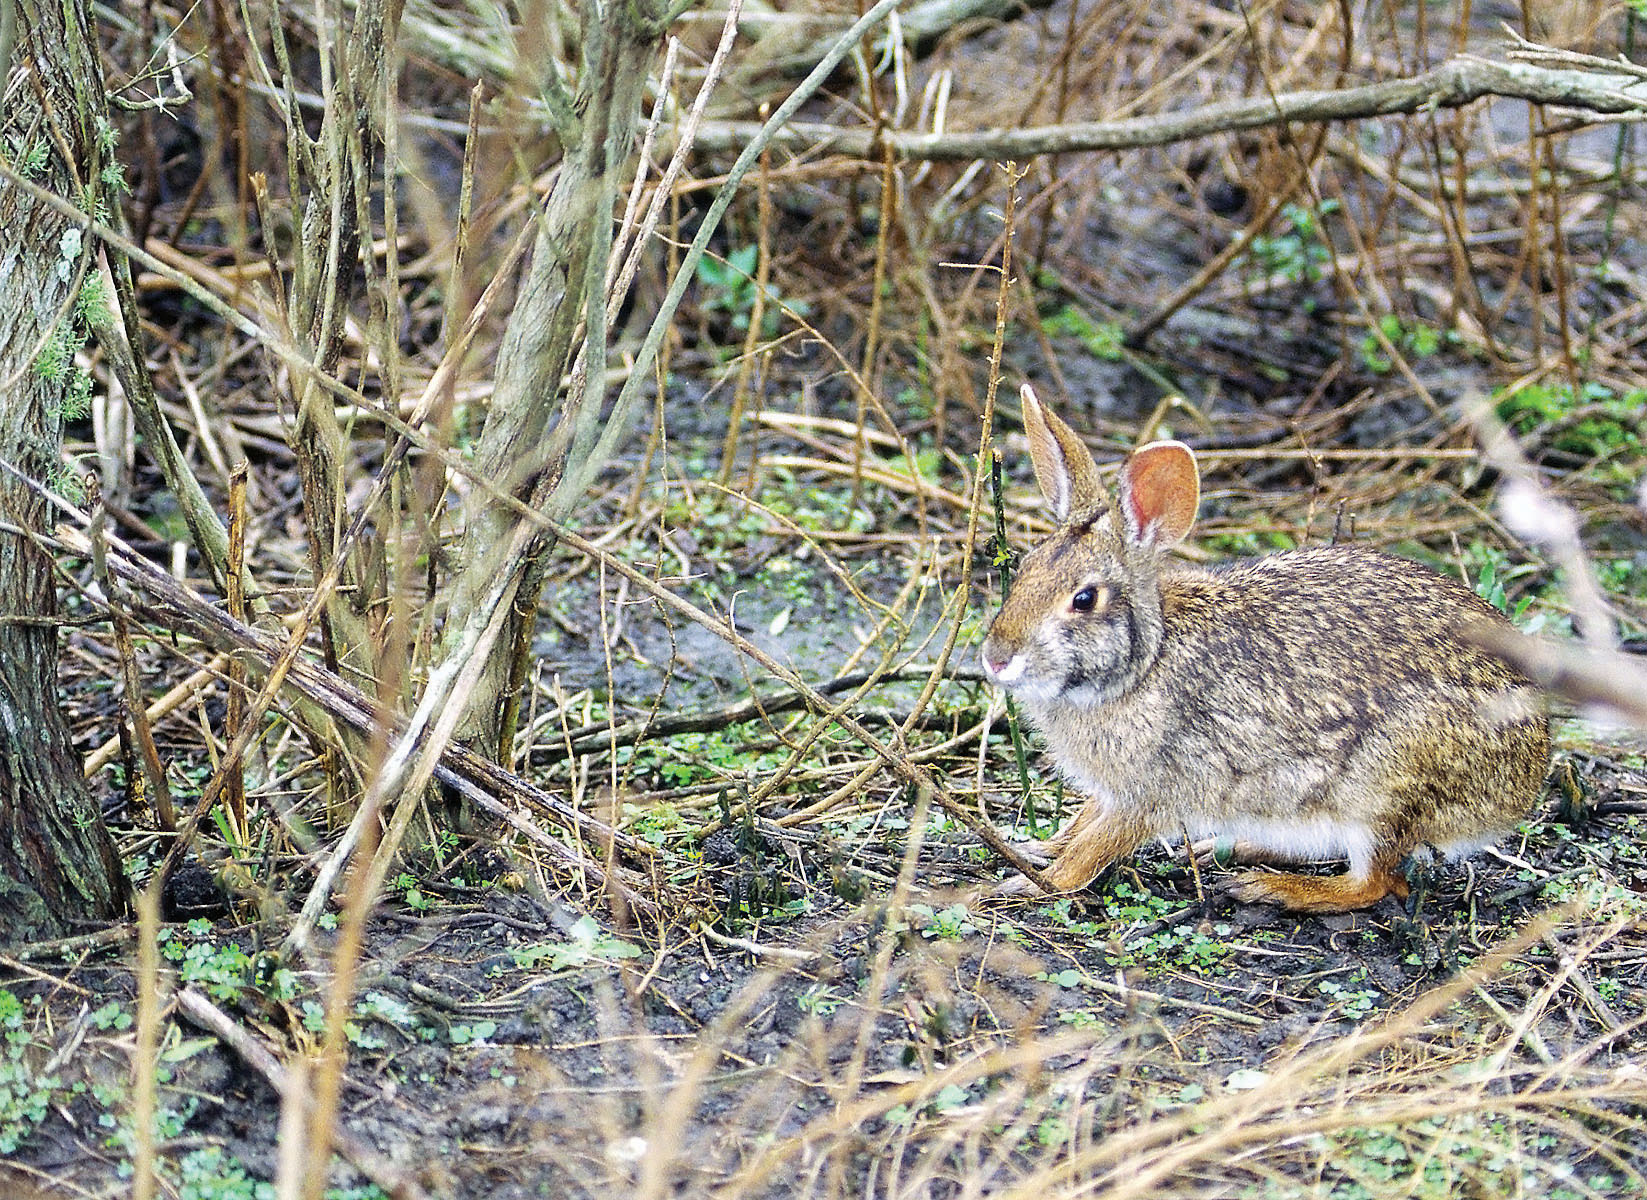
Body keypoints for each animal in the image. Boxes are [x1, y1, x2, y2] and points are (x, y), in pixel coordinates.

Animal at [981, 383, 1548, 908]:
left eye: (1084, 599)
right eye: (1024, 570)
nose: (995, 658)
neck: (1144, 663)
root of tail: (1527, 780)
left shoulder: (1151, 790)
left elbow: (1095, 848)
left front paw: (1034, 883)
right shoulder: (1112, 792)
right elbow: (1082, 824)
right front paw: (1041, 847)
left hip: (1382, 788)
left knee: (1374, 882)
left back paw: (1270, 887)